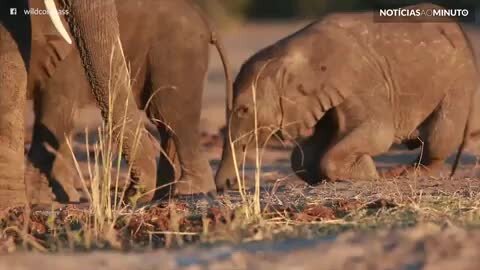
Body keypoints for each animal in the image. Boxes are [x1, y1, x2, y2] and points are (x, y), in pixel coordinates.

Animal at [216, 2, 478, 190]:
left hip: (458, 81)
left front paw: (370, 175)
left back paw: (406, 174)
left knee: (438, 138)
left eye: (243, 110)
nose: (226, 185)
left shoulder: (361, 81)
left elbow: (379, 132)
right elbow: (304, 156)